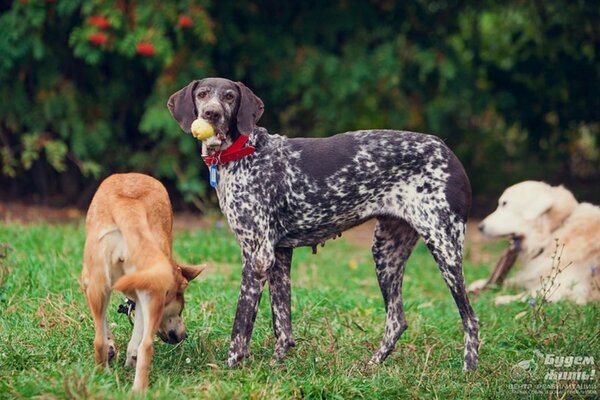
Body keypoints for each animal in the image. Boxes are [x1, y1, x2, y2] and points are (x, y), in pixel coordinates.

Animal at [81, 172, 206, 390]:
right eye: (181, 308)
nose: (184, 336)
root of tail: (129, 202)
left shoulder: (89, 283)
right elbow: (133, 340)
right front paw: (126, 358)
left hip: (98, 281)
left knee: (105, 341)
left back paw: (105, 377)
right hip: (144, 292)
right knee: (144, 345)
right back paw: (134, 386)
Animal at [166, 77, 480, 372]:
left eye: (230, 96)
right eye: (202, 94)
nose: (211, 113)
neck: (245, 152)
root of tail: (446, 150)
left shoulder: (257, 256)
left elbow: (241, 324)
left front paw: (232, 365)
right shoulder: (279, 255)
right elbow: (282, 323)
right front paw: (277, 365)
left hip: (444, 248)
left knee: (470, 318)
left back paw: (468, 370)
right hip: (386, 252)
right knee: (397, 320)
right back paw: (372, 365)